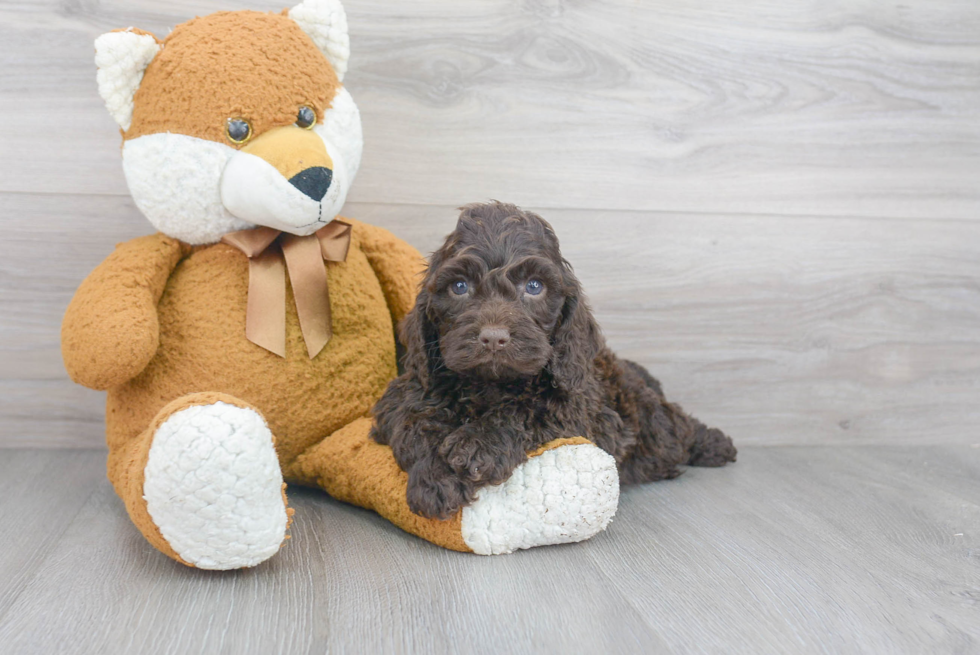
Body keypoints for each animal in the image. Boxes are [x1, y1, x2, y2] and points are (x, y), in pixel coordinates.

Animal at [374, 202, 736, 520]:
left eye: (534, 286)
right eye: (459, 286)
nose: (493, 338)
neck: (490, 385)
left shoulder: (583, 410)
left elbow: (527, 411)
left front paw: (476, 445)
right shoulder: (406, 392)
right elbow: (414, 420)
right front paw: (436, 478)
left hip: (648, 416)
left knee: (678, 426)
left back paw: (715, 444)